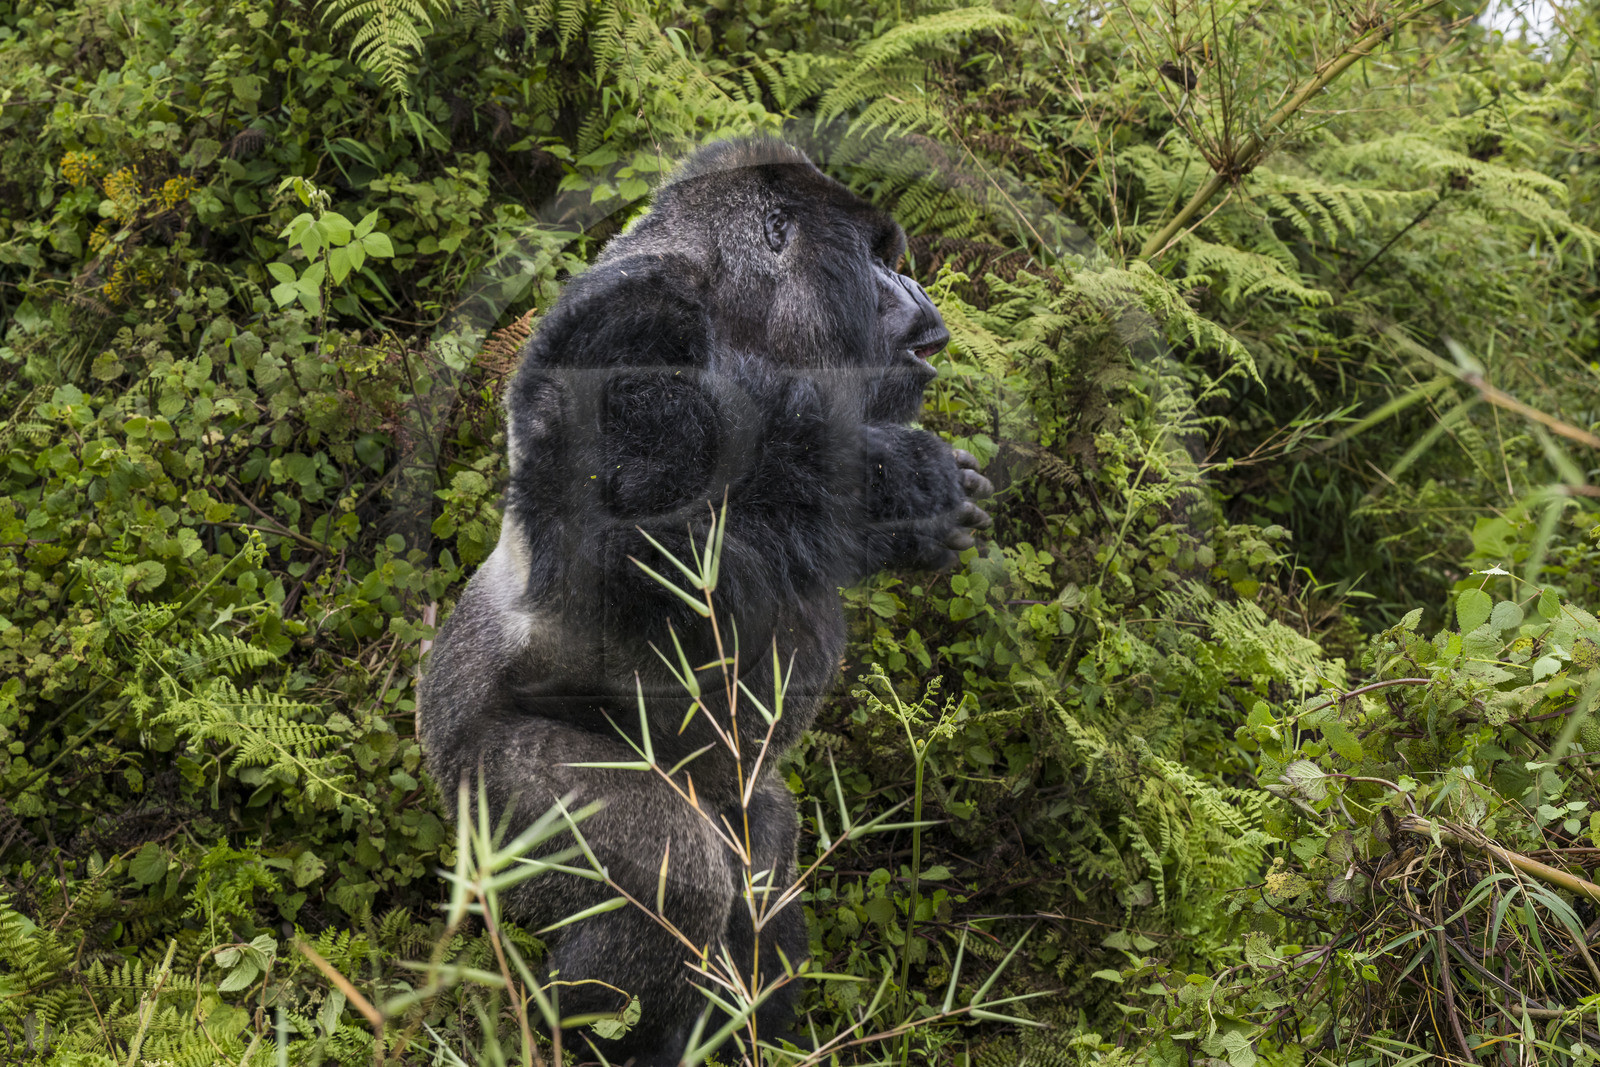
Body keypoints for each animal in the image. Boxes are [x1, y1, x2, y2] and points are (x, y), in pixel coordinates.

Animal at [417, 137, 992, 1066]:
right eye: (878, 259)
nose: (920, 295)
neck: (741, 307)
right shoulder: (633, 318)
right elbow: (635, 541)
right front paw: (898, 492)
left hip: (722, 790)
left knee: (763, 851)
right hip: (479, 791)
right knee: (678, 876)